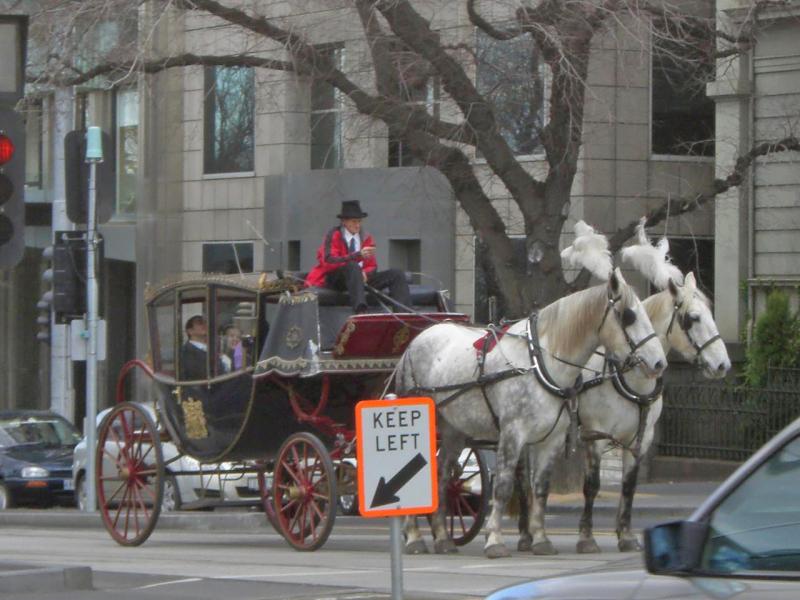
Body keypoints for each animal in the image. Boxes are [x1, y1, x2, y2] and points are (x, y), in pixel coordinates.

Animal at [396, 268, 667, 558]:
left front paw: (540, 539)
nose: (659, 363)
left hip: (453, 430)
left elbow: (541, 488)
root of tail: (418, 339)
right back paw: (414, 537)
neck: (539, 363)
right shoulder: (513, 433)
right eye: (629, 316)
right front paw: (495, 540)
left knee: (442, 476)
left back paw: (442, 538)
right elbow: (503, 487)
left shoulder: (553, 439)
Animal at [515, 272, 731, 554]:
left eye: (711, 313)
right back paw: (524, 534)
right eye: (693, 318)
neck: (627, 377)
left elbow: (629, 486)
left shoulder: (640, 439)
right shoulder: (596, 435)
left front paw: (626, 535)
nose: (723, 365)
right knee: (521, 476)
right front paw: (587, 537)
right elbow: (591, 486)